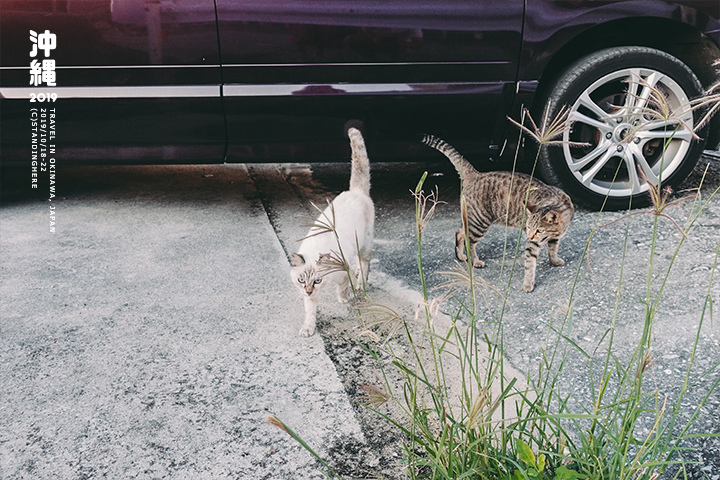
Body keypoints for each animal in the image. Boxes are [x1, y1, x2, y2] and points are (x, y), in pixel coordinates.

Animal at [290, 127, 374, 338]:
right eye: (301, 280)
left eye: (317, 280)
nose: (309, 291)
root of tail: (355, 191)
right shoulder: (310, 298)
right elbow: (310, 313)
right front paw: (308, 329)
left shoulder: (344, 272)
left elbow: (344, 286)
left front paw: (344, 297)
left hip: (364, 245)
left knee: (364, 264)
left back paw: (360, 285)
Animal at [422, 135, 572, 292]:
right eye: (529, 228)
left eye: (539, 230)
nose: (529, 235)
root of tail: (477, 174)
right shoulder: (533, 244)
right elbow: (530, 265)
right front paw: (528, 284)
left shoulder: (555, 238)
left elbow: (553, 249)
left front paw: (554, 260)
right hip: (479, 222)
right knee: (470, 242)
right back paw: (475, 261)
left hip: (472, 219)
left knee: (460, 232)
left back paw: (461, 256)